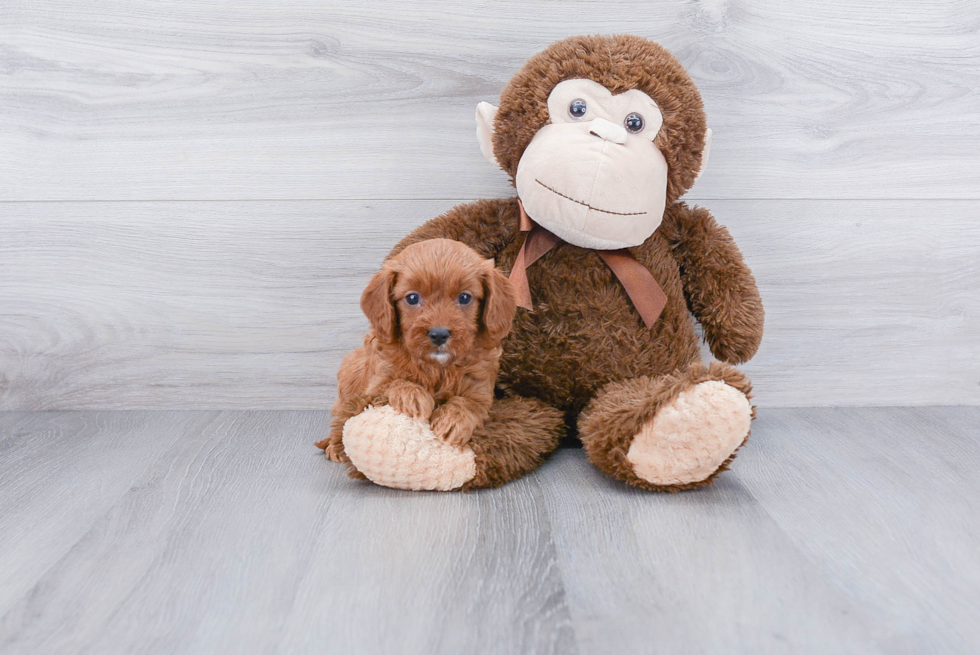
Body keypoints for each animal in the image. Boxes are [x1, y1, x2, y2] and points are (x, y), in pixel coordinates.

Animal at [320, 238, 520, 464]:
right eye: (412, 298)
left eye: (464, 297)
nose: (439, 334)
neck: (437, 367)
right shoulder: (377, 382)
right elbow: (394, 383)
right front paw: (413, 396)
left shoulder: (481, 390)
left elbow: (469, 403)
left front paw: (453, 420)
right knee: (342, 416)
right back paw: (335, 446)